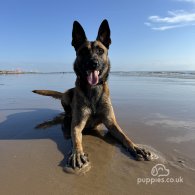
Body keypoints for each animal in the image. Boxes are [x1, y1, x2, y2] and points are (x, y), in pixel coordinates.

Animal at [33, 19, 151, 170]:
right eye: (83, 51)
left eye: (100, 51)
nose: (93, 63)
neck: (93, 90)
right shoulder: (77, 125)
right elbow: (76, 140)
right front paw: (77, 154)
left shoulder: (111, 123)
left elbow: (125, 136)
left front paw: (136, 147)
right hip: (67, 95)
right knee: (67, 111)